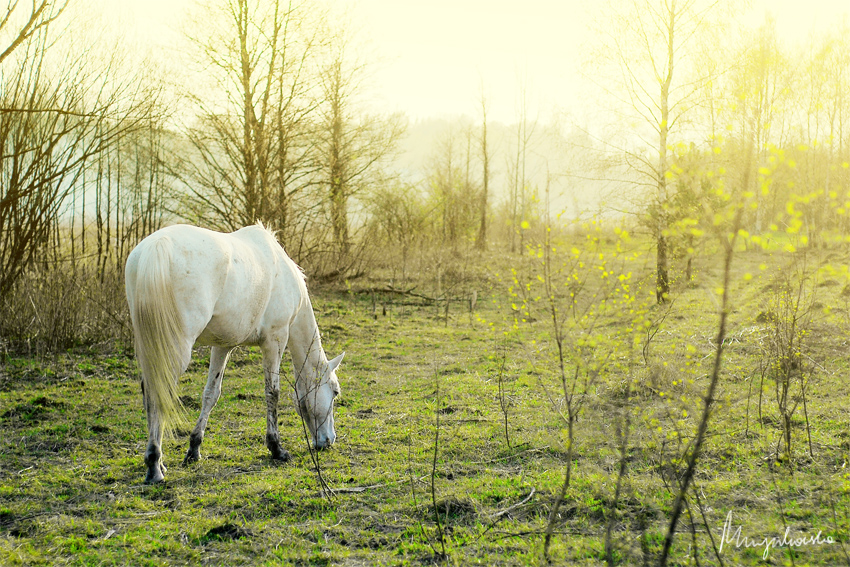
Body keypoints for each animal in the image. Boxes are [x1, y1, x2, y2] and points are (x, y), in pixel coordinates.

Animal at [123, 222, 342, 484]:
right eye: (335, 392)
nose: (328, 440)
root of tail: (158, 246)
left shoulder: (222, 345)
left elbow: (211, 394)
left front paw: (194, 449)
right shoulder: (275, 340)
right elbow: (272, 393)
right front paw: (276, 448)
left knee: (151, 392)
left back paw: (159, 462)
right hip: (174, 348)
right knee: (159, 391)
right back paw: (155, 465)